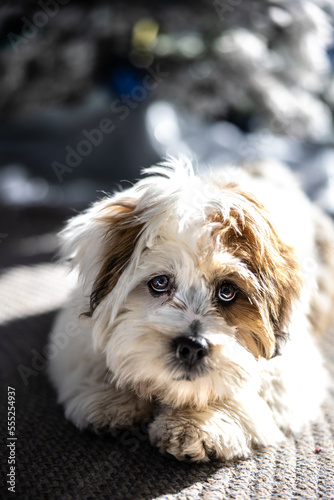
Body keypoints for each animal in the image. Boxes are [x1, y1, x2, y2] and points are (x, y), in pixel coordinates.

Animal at [47, 159, 334, 460]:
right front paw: (112, 396)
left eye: (227, 291)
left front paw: (197, 422)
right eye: (160, 283)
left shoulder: (291, 367)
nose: (192, 347)